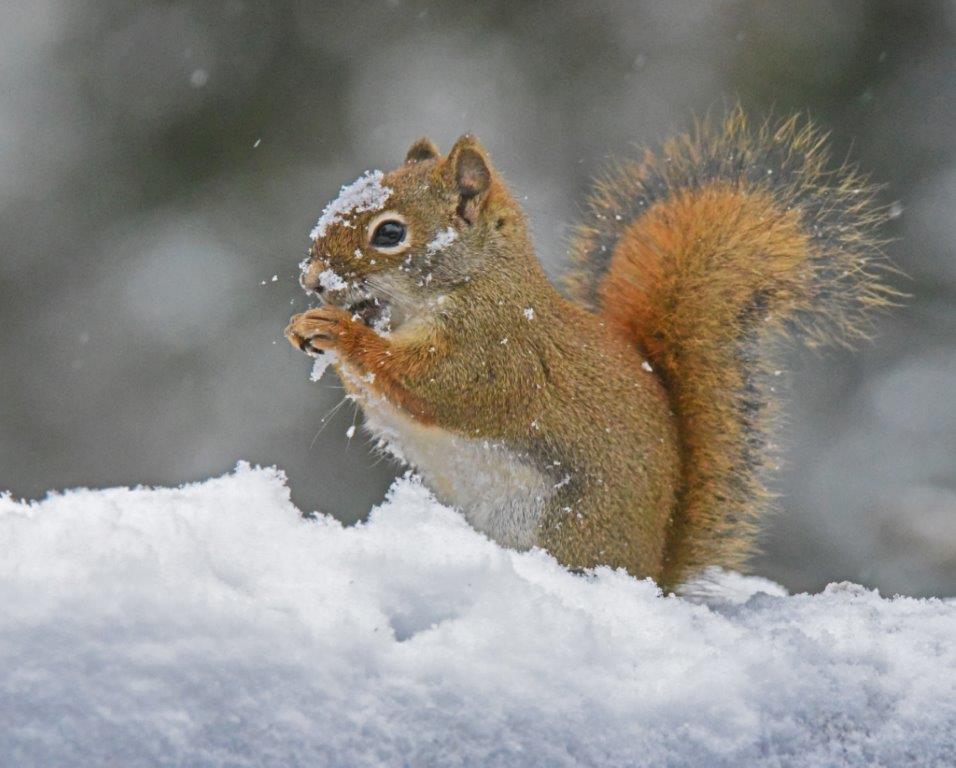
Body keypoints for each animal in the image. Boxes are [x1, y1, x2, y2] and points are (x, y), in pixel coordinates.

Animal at [286, 108, 894, 591]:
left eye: (389, 234)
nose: (311, 279)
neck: (474, 282)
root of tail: (651, 573)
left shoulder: (496, 352)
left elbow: (430, 385)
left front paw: (340, 332)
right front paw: (306, 328)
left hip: (568, 528)